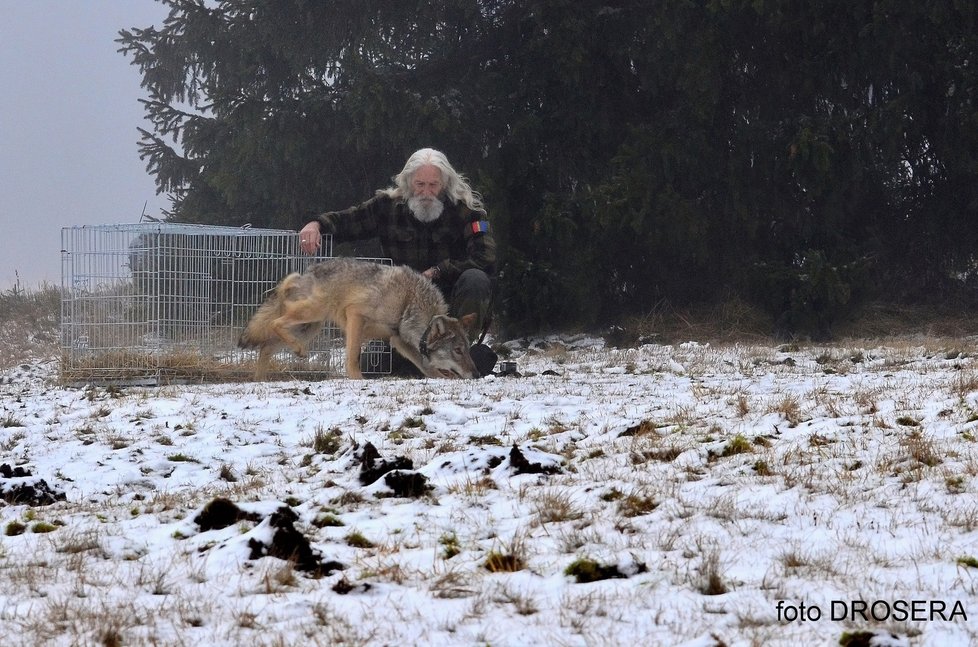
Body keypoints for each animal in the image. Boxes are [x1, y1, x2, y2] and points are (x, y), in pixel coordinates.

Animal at [237, 258, 480, 380]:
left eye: (468, 350)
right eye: (458, 350)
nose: (477, 374)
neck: (408, 302)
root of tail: (306, 272)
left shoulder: (398, 340)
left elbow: (426, 366)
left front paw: (442, 377)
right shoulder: (356, 316)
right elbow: (352, 357)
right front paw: (358, 379)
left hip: (310, 327)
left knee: (266, 347)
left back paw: (260, 380)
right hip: (313, 315)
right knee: (274, 324)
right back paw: (293, 352)